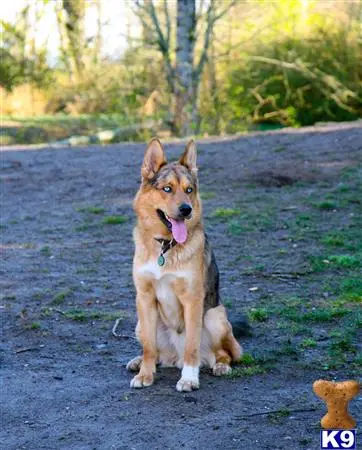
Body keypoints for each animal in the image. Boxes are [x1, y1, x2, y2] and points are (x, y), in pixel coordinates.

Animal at [126, 139, 242, 392]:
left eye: (189, 190)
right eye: (167, 189)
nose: (186, 210)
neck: (165, 248)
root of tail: (174, 358)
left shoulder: (192, 299)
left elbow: (192, 346)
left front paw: (189, 379)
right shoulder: (144, 297)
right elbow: (149, 346)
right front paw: (145, 374)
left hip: (215, 317)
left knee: (224, 353)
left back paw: (220, 366)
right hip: (139, 323)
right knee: (155, 352)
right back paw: (139, 361)